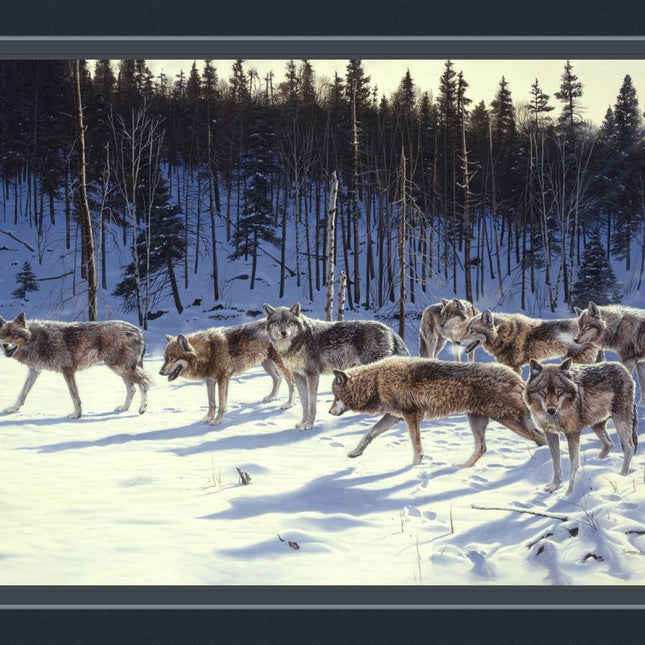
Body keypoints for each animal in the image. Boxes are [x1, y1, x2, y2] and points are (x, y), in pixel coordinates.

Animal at [0, 312, 149, 418]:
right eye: (2, 336)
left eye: (15, 335)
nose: (5, 345)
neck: (37, 340)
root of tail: (139, 331)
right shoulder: (34, 370)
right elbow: (22, 393)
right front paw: (13, 409)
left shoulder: (67, 370)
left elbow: (74, 396)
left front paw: (76, 415)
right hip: (118, 369)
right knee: (132, 388)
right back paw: (124, 408)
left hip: (119, 367)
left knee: (143, 383)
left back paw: (142, 409)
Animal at [159, 319, 295, 425]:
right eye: (165, 359)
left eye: (172, 359)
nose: (160, 372)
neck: (208, 352)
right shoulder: (210, 380)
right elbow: (212, 403)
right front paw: (208, 418)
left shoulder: (223, 379)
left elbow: (221, 404)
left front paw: (217, 420)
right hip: (266, 364)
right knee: (278, 378)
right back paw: (271, 397)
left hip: (278, 364)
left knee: (291, 382)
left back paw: (289, 404)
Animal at [263, 303, 409, 430]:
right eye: (277, 322)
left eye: (290, 322)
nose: (284, 333)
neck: (298, 342)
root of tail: (389, 330)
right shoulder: (298, 375)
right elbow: (304, 403)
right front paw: (303, 423)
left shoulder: (312, 375)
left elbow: (311, 405)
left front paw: (309, 425)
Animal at [329, 356, 546, 466]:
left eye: (335, 396)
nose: (330, 412)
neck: (375, 381)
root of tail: (517, 378)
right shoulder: (394, 417)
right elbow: (369, 433)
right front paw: (356, 452)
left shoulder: (410, 416)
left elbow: (416, 445)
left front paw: (414, 467)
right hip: (477, 420)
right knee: (482, 448)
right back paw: (461, 468)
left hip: (507, 420)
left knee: (541, 438)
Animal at [524, 358, 638, 495]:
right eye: (542, 391)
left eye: (559, 390)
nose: (551, 410)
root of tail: (624, 370)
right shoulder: (550, 433)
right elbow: (556, 463)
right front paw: (555, 486)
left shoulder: (572, 433)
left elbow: (574, 464)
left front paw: (569, 492)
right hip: (596, 426)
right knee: (609, 444)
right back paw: (596, 461)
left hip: (620, 423)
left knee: (629, 447)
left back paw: (622, 474)